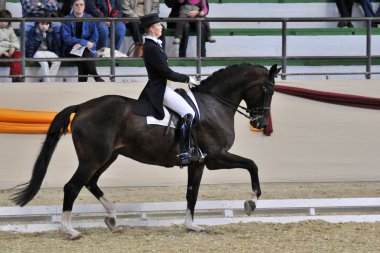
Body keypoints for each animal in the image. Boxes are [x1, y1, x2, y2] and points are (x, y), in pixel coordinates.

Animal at [11, 63, 282, 239]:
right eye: (268, 90)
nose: (259, 123)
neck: (214, 104)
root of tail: (83, 106)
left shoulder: (199, 162)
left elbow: (191, 194)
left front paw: (191, 226)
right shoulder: (216, 157)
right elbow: (252, 164)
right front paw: (251, 201)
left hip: (107, 157)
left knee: (91, 182)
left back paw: (112, 216)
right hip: (94, 158)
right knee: (72, 186)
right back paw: (70, 230)